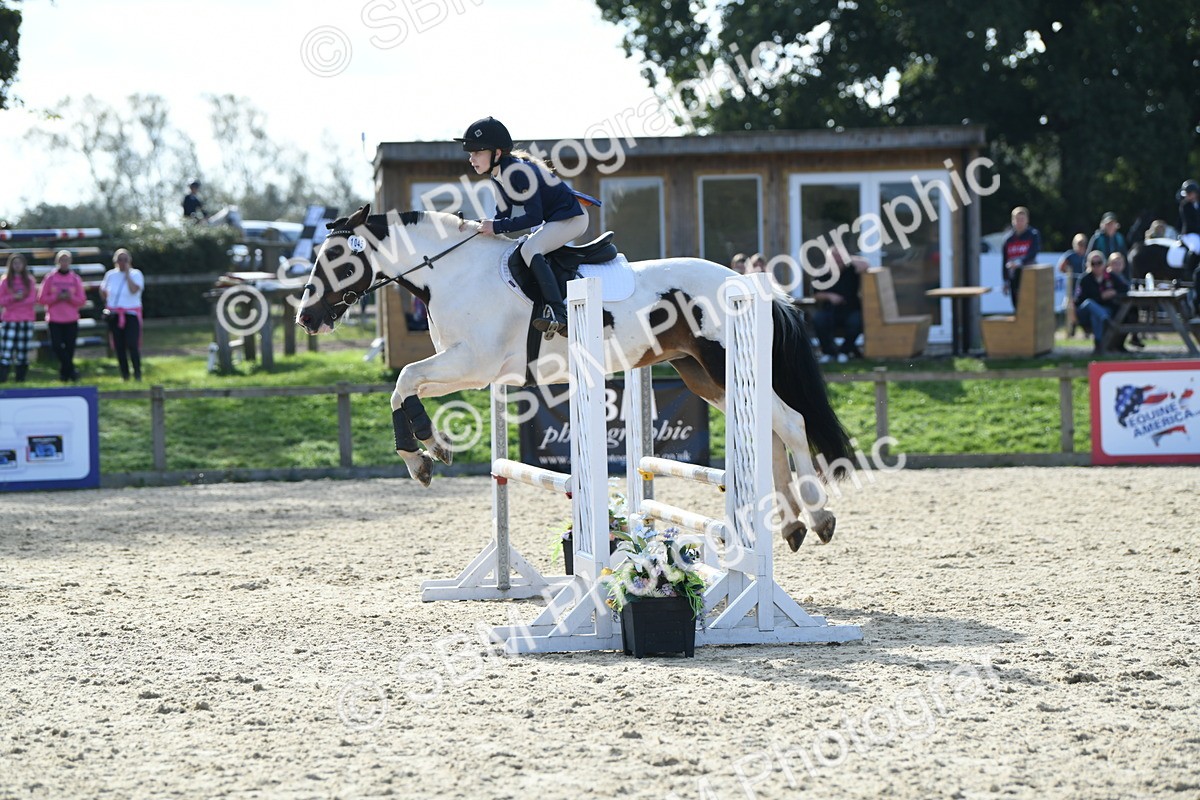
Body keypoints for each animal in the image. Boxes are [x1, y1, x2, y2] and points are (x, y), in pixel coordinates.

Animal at [296, 204, 855, 551]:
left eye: (337, 259)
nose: (306, 318)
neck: (452, 274)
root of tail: (748, 283)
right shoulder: (463, 368)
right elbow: (405, 386)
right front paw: (430, 449)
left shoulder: (473, 363)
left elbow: (405, 379)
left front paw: (422, 455)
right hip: (703, 376)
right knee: (772, 429)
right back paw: (792, 526)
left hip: (722, 363)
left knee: (791, 422)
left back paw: (819, 518)